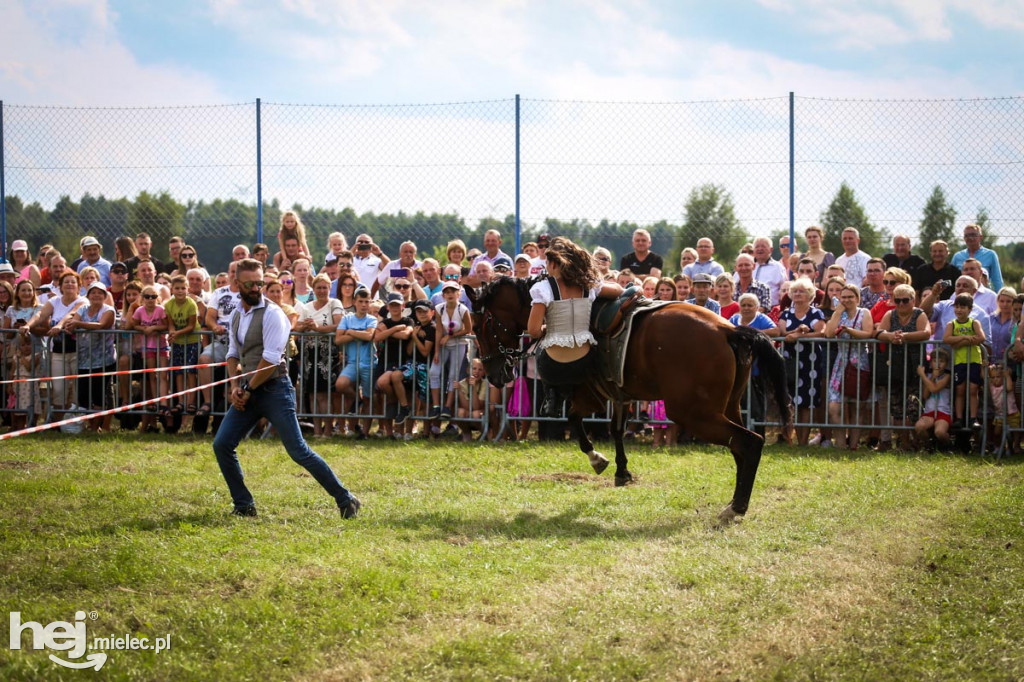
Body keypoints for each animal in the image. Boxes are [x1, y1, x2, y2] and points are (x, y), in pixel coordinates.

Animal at [468, 276, 794, 520]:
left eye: (480, 326)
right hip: (728, 407)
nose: (495, 374)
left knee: (749, 442)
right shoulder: (618, 395)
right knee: (740, 447)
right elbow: (615, 429)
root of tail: (728, 329)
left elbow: (575, 420)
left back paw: (736, 507)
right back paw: (735, 504)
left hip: (694, 413)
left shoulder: (589, 395)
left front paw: (597, 459)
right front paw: (622, 470)